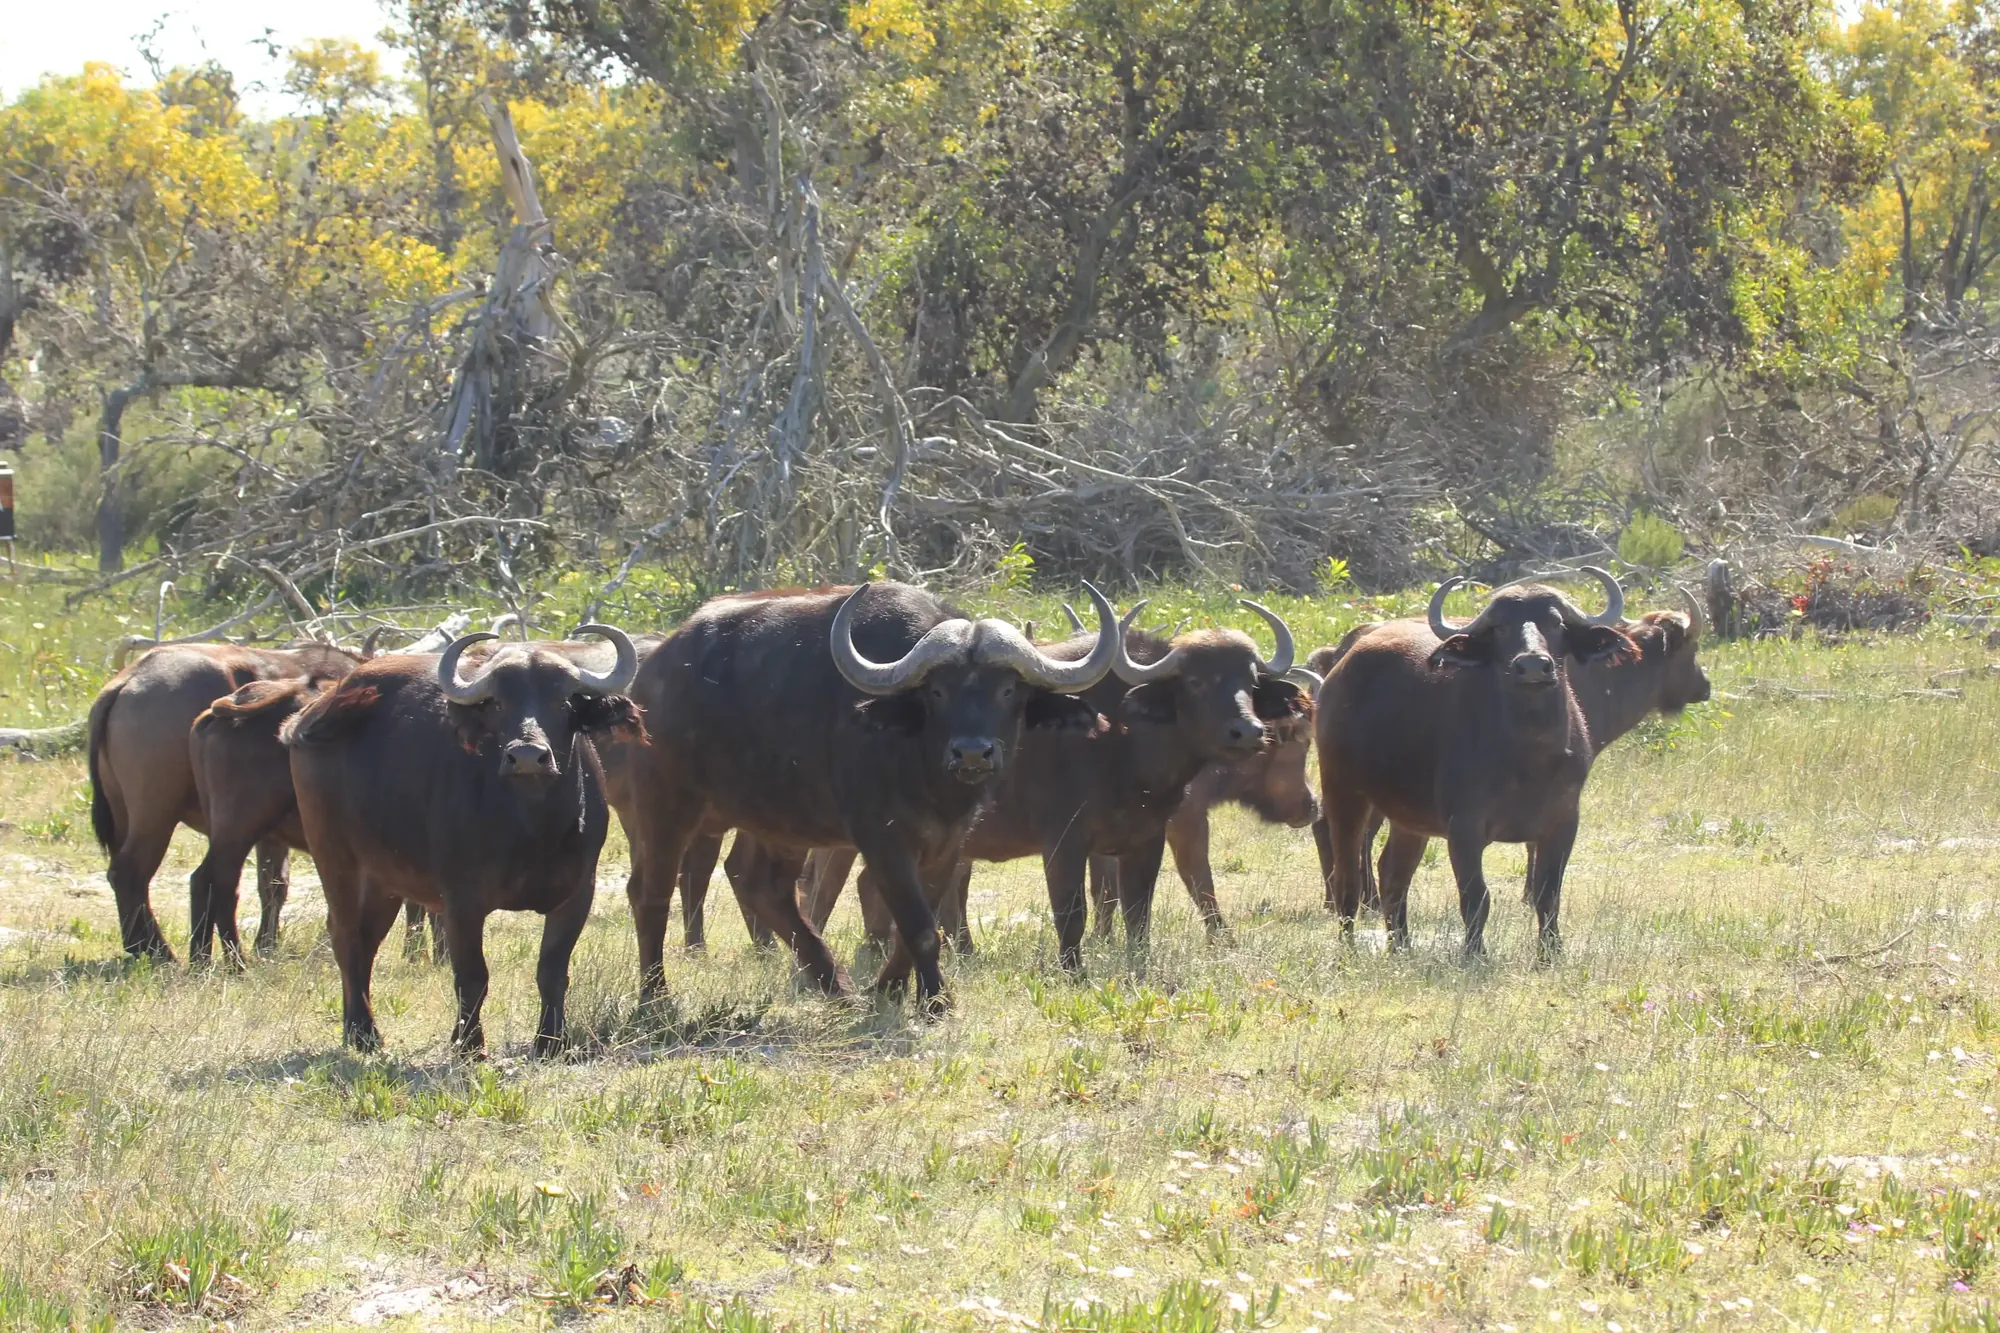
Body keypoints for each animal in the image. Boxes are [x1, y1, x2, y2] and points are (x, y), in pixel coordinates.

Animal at [284, 628, 640, 1053]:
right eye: (499, 702)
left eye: (564, 700)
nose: (526, 756)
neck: (533, 827)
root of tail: (311, 715)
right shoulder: (460, 900)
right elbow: (472, 975)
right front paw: (468, 1043)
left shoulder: (577, 893)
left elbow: (552, 970)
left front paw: (550, 1041)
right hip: (334, 859)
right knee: (345, 937)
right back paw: (362, 1031)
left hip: (383, 879)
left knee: (366, 940)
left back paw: (359, 1029)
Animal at [623, 581, 1120, 1011]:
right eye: (937, 691)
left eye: (1008, 690)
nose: (972, 752)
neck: (922, 769)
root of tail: (649, 677)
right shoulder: (881, 838)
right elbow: (919, 924)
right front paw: (935, 1001)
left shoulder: (949, 842)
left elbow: (919, 922)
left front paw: (890, 989)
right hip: (665, 804)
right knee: (651, 892)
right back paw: (656, 998)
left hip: (779, 821)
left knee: (762, 885)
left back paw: (835, 984)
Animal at [1315, 571, 1636, 959]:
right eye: (1499, 627)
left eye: (1556, 622)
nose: (1532, 665)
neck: (1529, 757)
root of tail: (1340, 669)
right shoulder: (1464, 828)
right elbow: (1476, 896)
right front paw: (1474, 953)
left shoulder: (1563, 823)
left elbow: (1548, 895)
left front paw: (1550, 954)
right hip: (1343, 791)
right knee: (1347, 876)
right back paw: (1348, 949)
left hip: (1409, 819)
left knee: (1393, 874)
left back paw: (1402, 946)